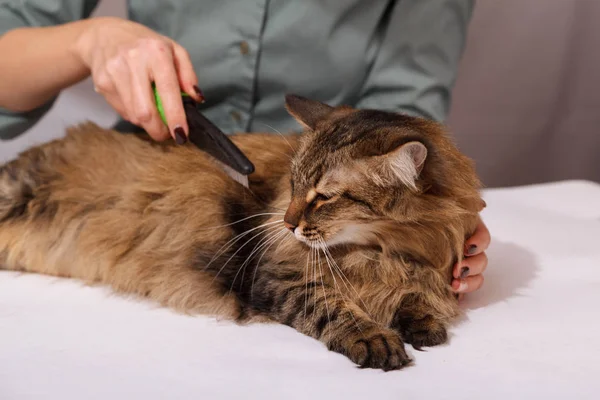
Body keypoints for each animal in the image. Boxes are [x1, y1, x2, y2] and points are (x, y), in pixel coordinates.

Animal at [0, 94, 482, 372]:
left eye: (323, 197)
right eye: (294, 184)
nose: (287, 222)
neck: (381, 249)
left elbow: (416, 295)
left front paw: (422, 322)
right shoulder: (277, 279)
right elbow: (334, 309)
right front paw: (376, 339)